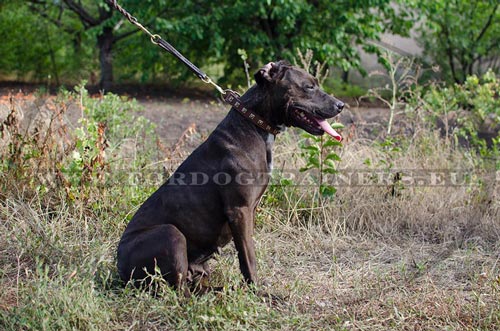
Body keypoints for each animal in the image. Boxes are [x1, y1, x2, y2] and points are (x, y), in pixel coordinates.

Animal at [117, 61, 344, 292]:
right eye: (309, 87)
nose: (341, 105)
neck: (255, 123)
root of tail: (120, 268)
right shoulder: (239, 210)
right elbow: (248, 256)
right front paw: (257, 291)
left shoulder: (249, 209)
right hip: (170, 234)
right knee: (179, 291)